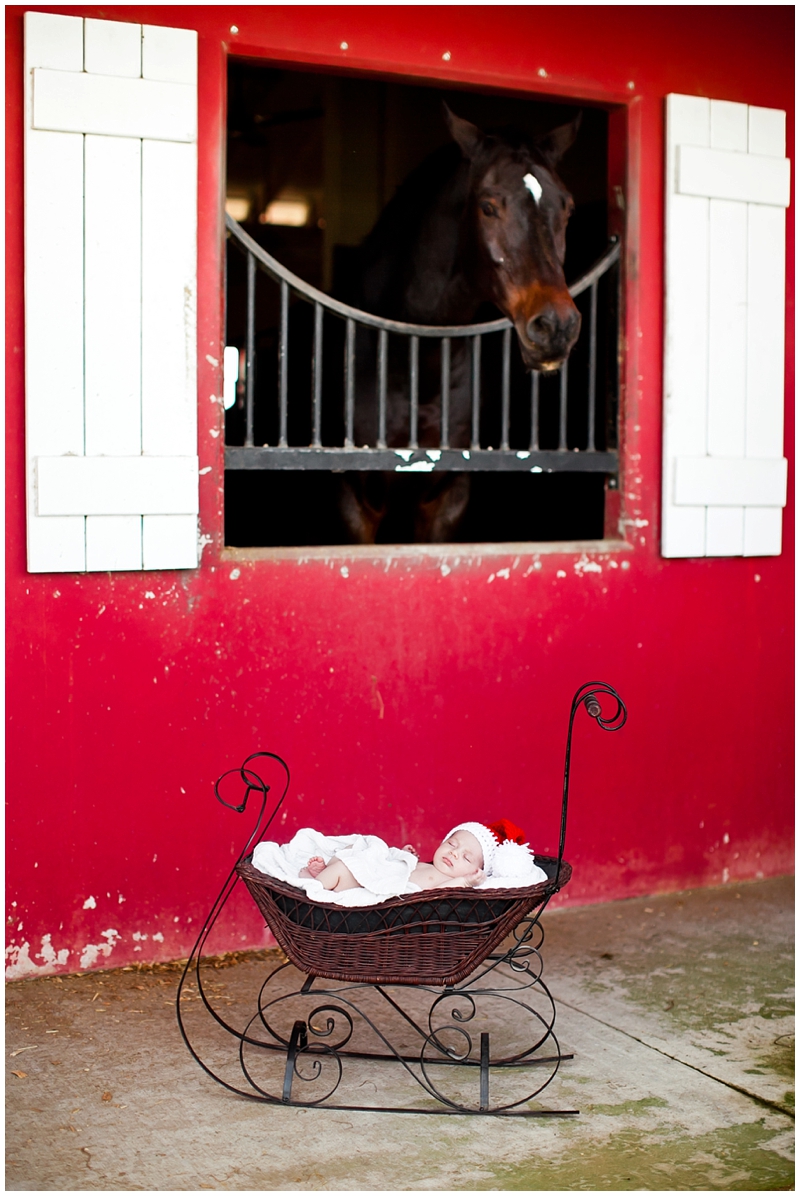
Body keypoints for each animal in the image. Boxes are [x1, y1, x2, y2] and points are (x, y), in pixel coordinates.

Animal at [339, 107, 576, 547]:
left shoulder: (447, 499)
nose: (556, 326)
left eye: (567, 207)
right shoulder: (357, 503)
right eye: (487, 206)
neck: (417, 366)